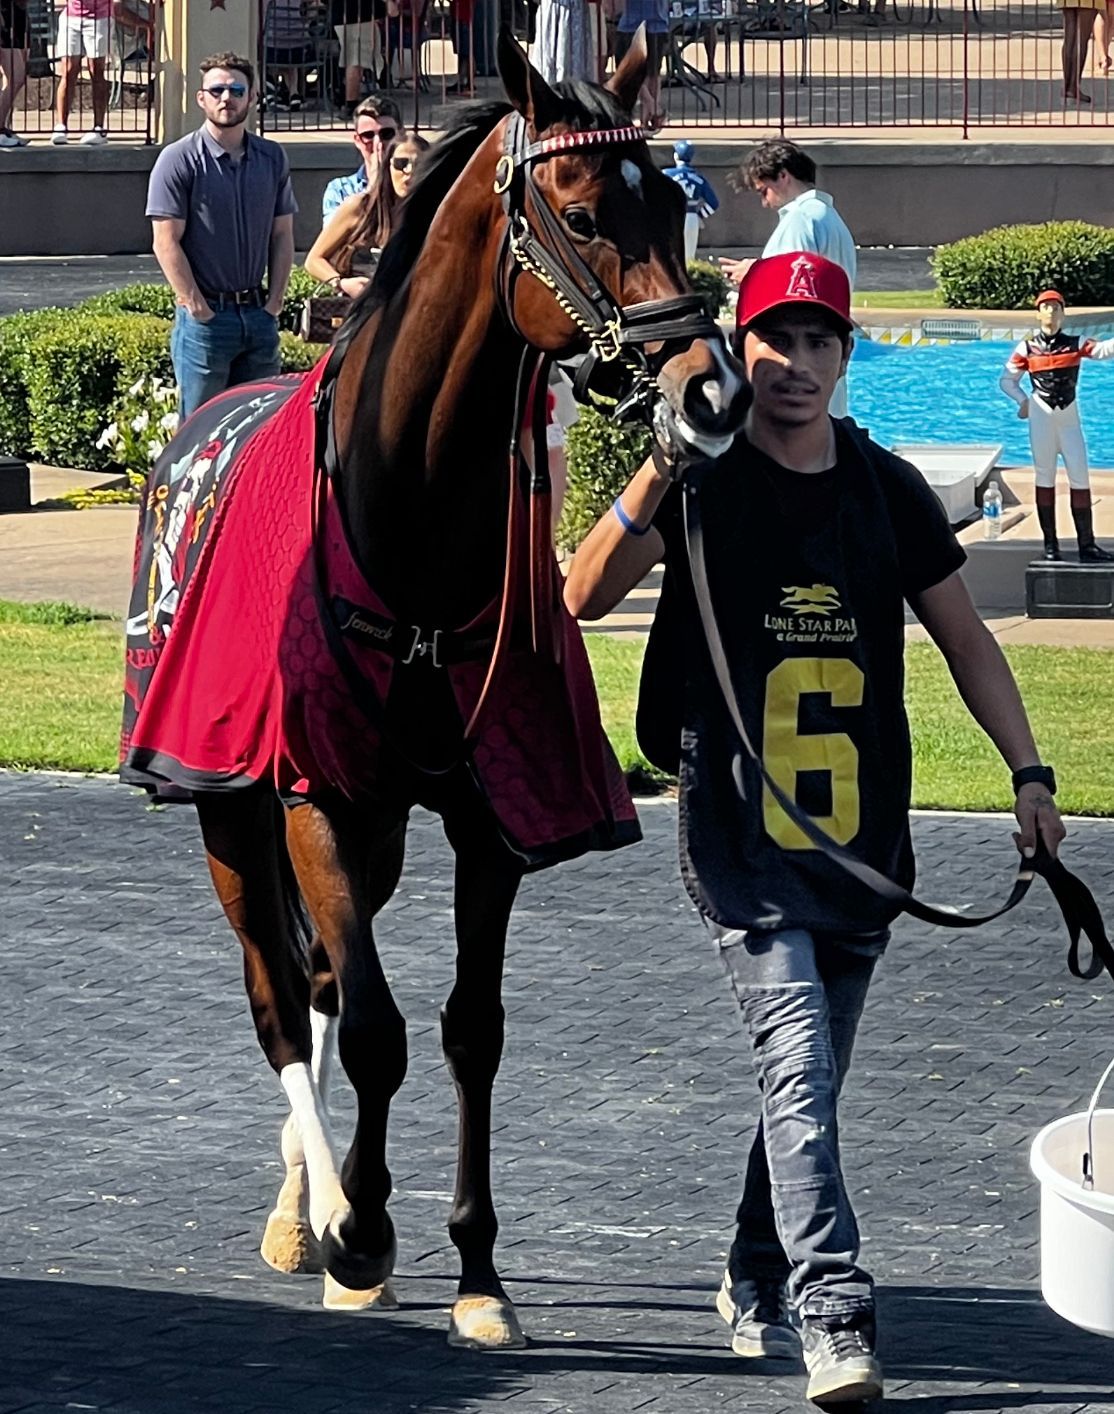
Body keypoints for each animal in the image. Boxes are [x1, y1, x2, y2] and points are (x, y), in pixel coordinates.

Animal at [120, 28, 748, 1349]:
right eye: (581, 211)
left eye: (674, 201)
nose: (708, 391)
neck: (405, 509)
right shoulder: (314, 794)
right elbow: (374, 1027)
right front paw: (363, 1229)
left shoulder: (481, 819)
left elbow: (468, 1029)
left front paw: (474, 1265)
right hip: (231, 812)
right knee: (279, 995)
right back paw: (324, 1213)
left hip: (381, 831)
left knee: (317, 978)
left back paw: (308, 1206)